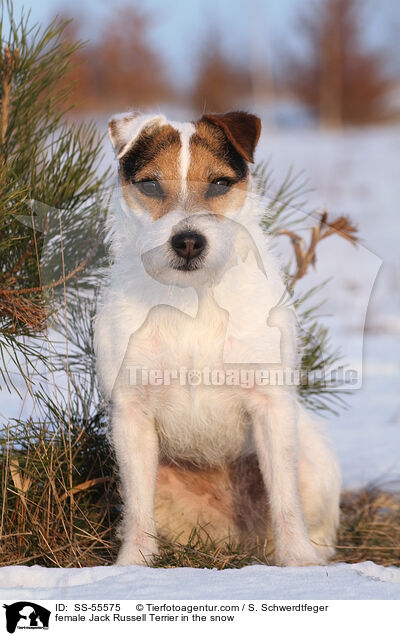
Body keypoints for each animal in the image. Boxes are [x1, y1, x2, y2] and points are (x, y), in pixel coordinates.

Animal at [94, 110, 340, 568]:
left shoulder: (270, 405)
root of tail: (230, 539)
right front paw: (132, 567)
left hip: (313, 461)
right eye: (150, 184)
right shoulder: (132, 414)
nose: (188, 241)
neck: (195, 297)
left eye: (220, 183)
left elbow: (285, 500)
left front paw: (299, 565)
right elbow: (136, 508)